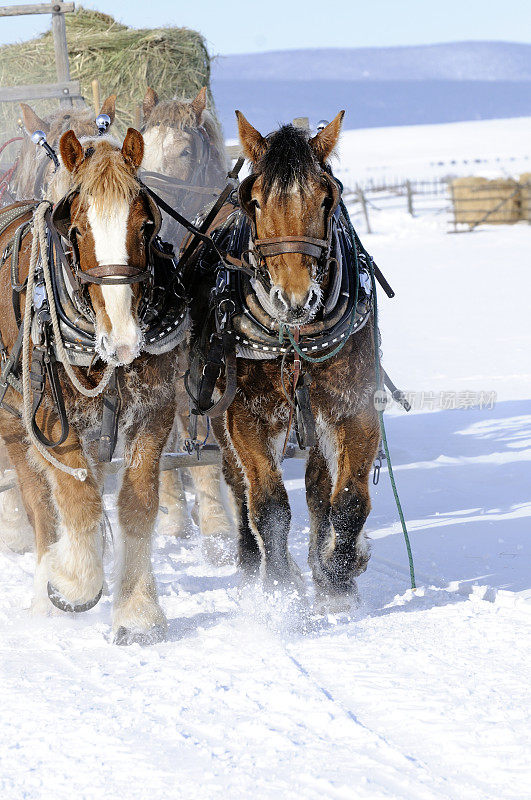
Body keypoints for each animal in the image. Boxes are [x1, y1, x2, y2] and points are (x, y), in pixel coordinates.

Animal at [0, 131, 185, 644]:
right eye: (77, 231)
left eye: (146, 225)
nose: (122, 341)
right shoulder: (49, 421)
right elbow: (77, 501)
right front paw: (72, 583)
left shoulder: (154, 411)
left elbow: (137, 503)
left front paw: (138, 612)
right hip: (13, 421)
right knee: (39, 502)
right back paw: (47, 582)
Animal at [189, 111, 380, 600]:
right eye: (254, 200)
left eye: (327, 197)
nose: (295, 300)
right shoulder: (246, 412)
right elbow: (269, 503)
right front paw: (279, 589)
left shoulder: (353, 406)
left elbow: (347, 499)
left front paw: (337, 575)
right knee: (236, 480)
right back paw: (248, 556)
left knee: (316, 485)